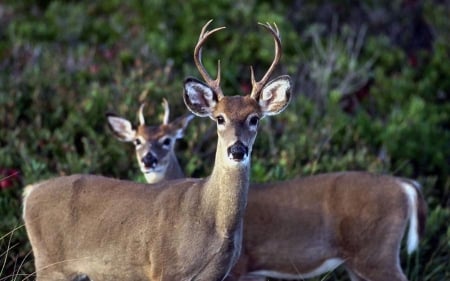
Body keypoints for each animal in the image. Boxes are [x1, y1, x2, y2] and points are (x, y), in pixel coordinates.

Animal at [22, 20, 292, 280]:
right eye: (219, 118)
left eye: (254, 118)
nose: (237, 150)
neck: (213, 219)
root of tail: (30, 192)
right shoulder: (164, 267)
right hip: (51, 265)